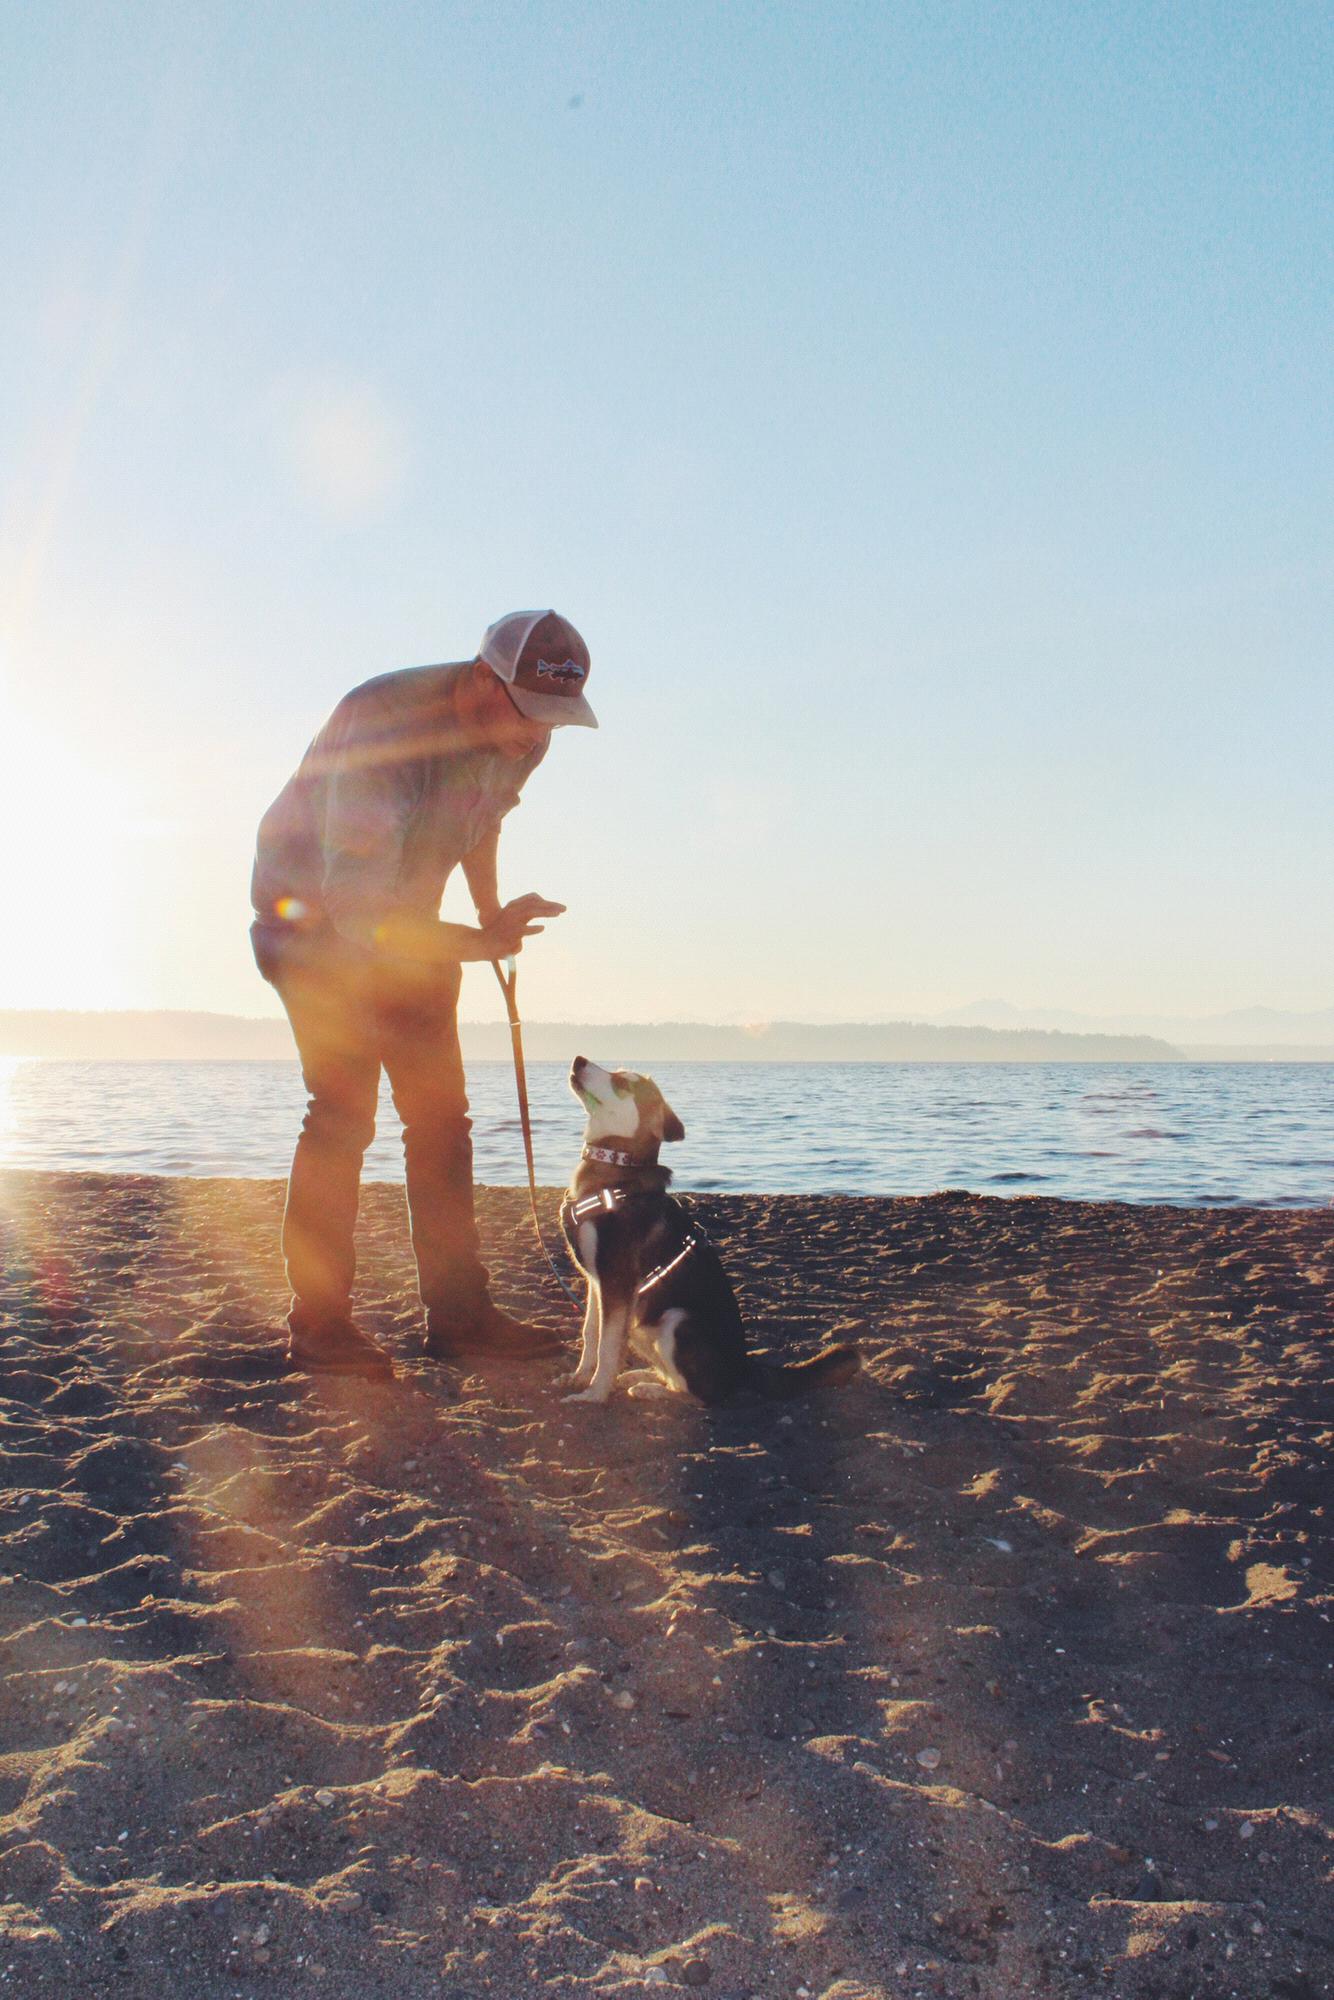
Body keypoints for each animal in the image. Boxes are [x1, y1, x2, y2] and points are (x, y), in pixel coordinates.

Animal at [560, 1064, 860, 1408]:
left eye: (621, 1081)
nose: (578, 1060)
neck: (616, 1169)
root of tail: (744, 1367)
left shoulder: (617, 1283)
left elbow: (608, 1348)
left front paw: (594, 1394)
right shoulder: (598, 1283)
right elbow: (591, 1334)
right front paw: (581, 1376)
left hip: (677, 1320)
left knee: (703, 1395)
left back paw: (652, 1389)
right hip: (643, 1326)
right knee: (681, 1380)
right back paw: (643, 1378)